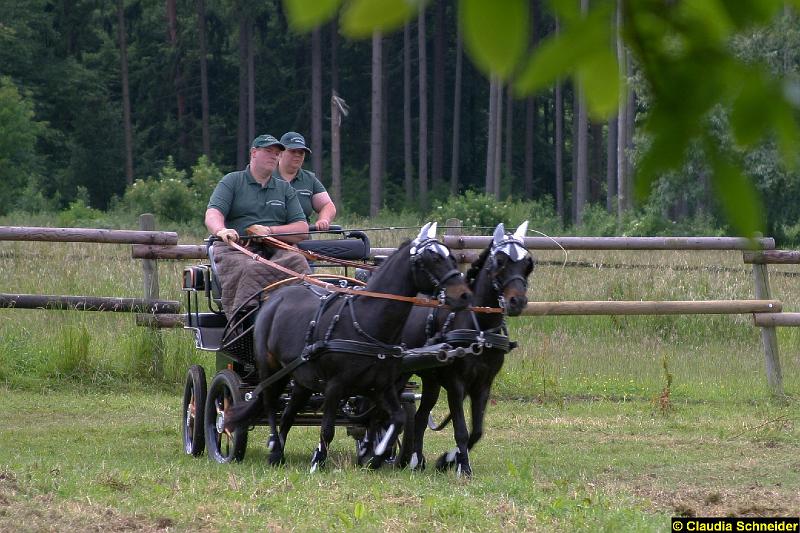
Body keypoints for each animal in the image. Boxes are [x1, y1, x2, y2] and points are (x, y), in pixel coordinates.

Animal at [222, 220, 472, 470]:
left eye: (451, 257)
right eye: (432, 259)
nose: (464, 295)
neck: (366, 321)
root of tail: (274, 297)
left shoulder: (381, 387)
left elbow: (396, 418)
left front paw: (376, 455)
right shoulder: (335, 386)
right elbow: (328, 429)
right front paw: (318, 461)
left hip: (302, 379)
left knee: (288, 413)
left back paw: (278, 453)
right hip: (270, 369)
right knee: (270, 404)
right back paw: (272, 446)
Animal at [398, 220, 532, 478]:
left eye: (528, 263)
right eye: (500, 261)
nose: (517, 302)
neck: (480, 328)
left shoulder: (484, 384)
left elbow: (477, 431)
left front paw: (449, 459)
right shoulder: (455, 384)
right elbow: (460, 428)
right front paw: (463, 467)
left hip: (431, 380)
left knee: (420, 417)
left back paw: (416, 461)